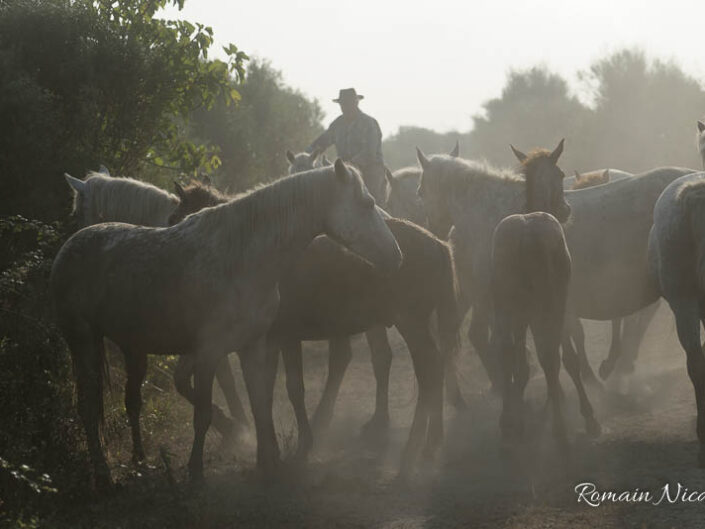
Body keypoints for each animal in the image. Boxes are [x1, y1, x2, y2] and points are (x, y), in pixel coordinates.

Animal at [51, 161, 398, 486]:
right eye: (366, 203)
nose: (395, 254)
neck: (243, 257)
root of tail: (69, 248)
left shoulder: (253, 346)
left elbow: (260, 401)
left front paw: (267, 461)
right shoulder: (210, 351)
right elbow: (206, 411)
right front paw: (201, 467)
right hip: (84, 341)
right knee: (89, 407)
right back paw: (104, 474)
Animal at [168, 183, 460, 474]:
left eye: (177, 221)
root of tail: (438, 244)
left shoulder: (283, 337)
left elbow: (292, 389)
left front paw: (297, 446)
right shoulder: (267, 342)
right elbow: (261, 392)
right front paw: (258, 444)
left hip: (411, 323)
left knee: (428, 371)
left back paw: (414, 445)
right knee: (429, 368)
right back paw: (428, 439)